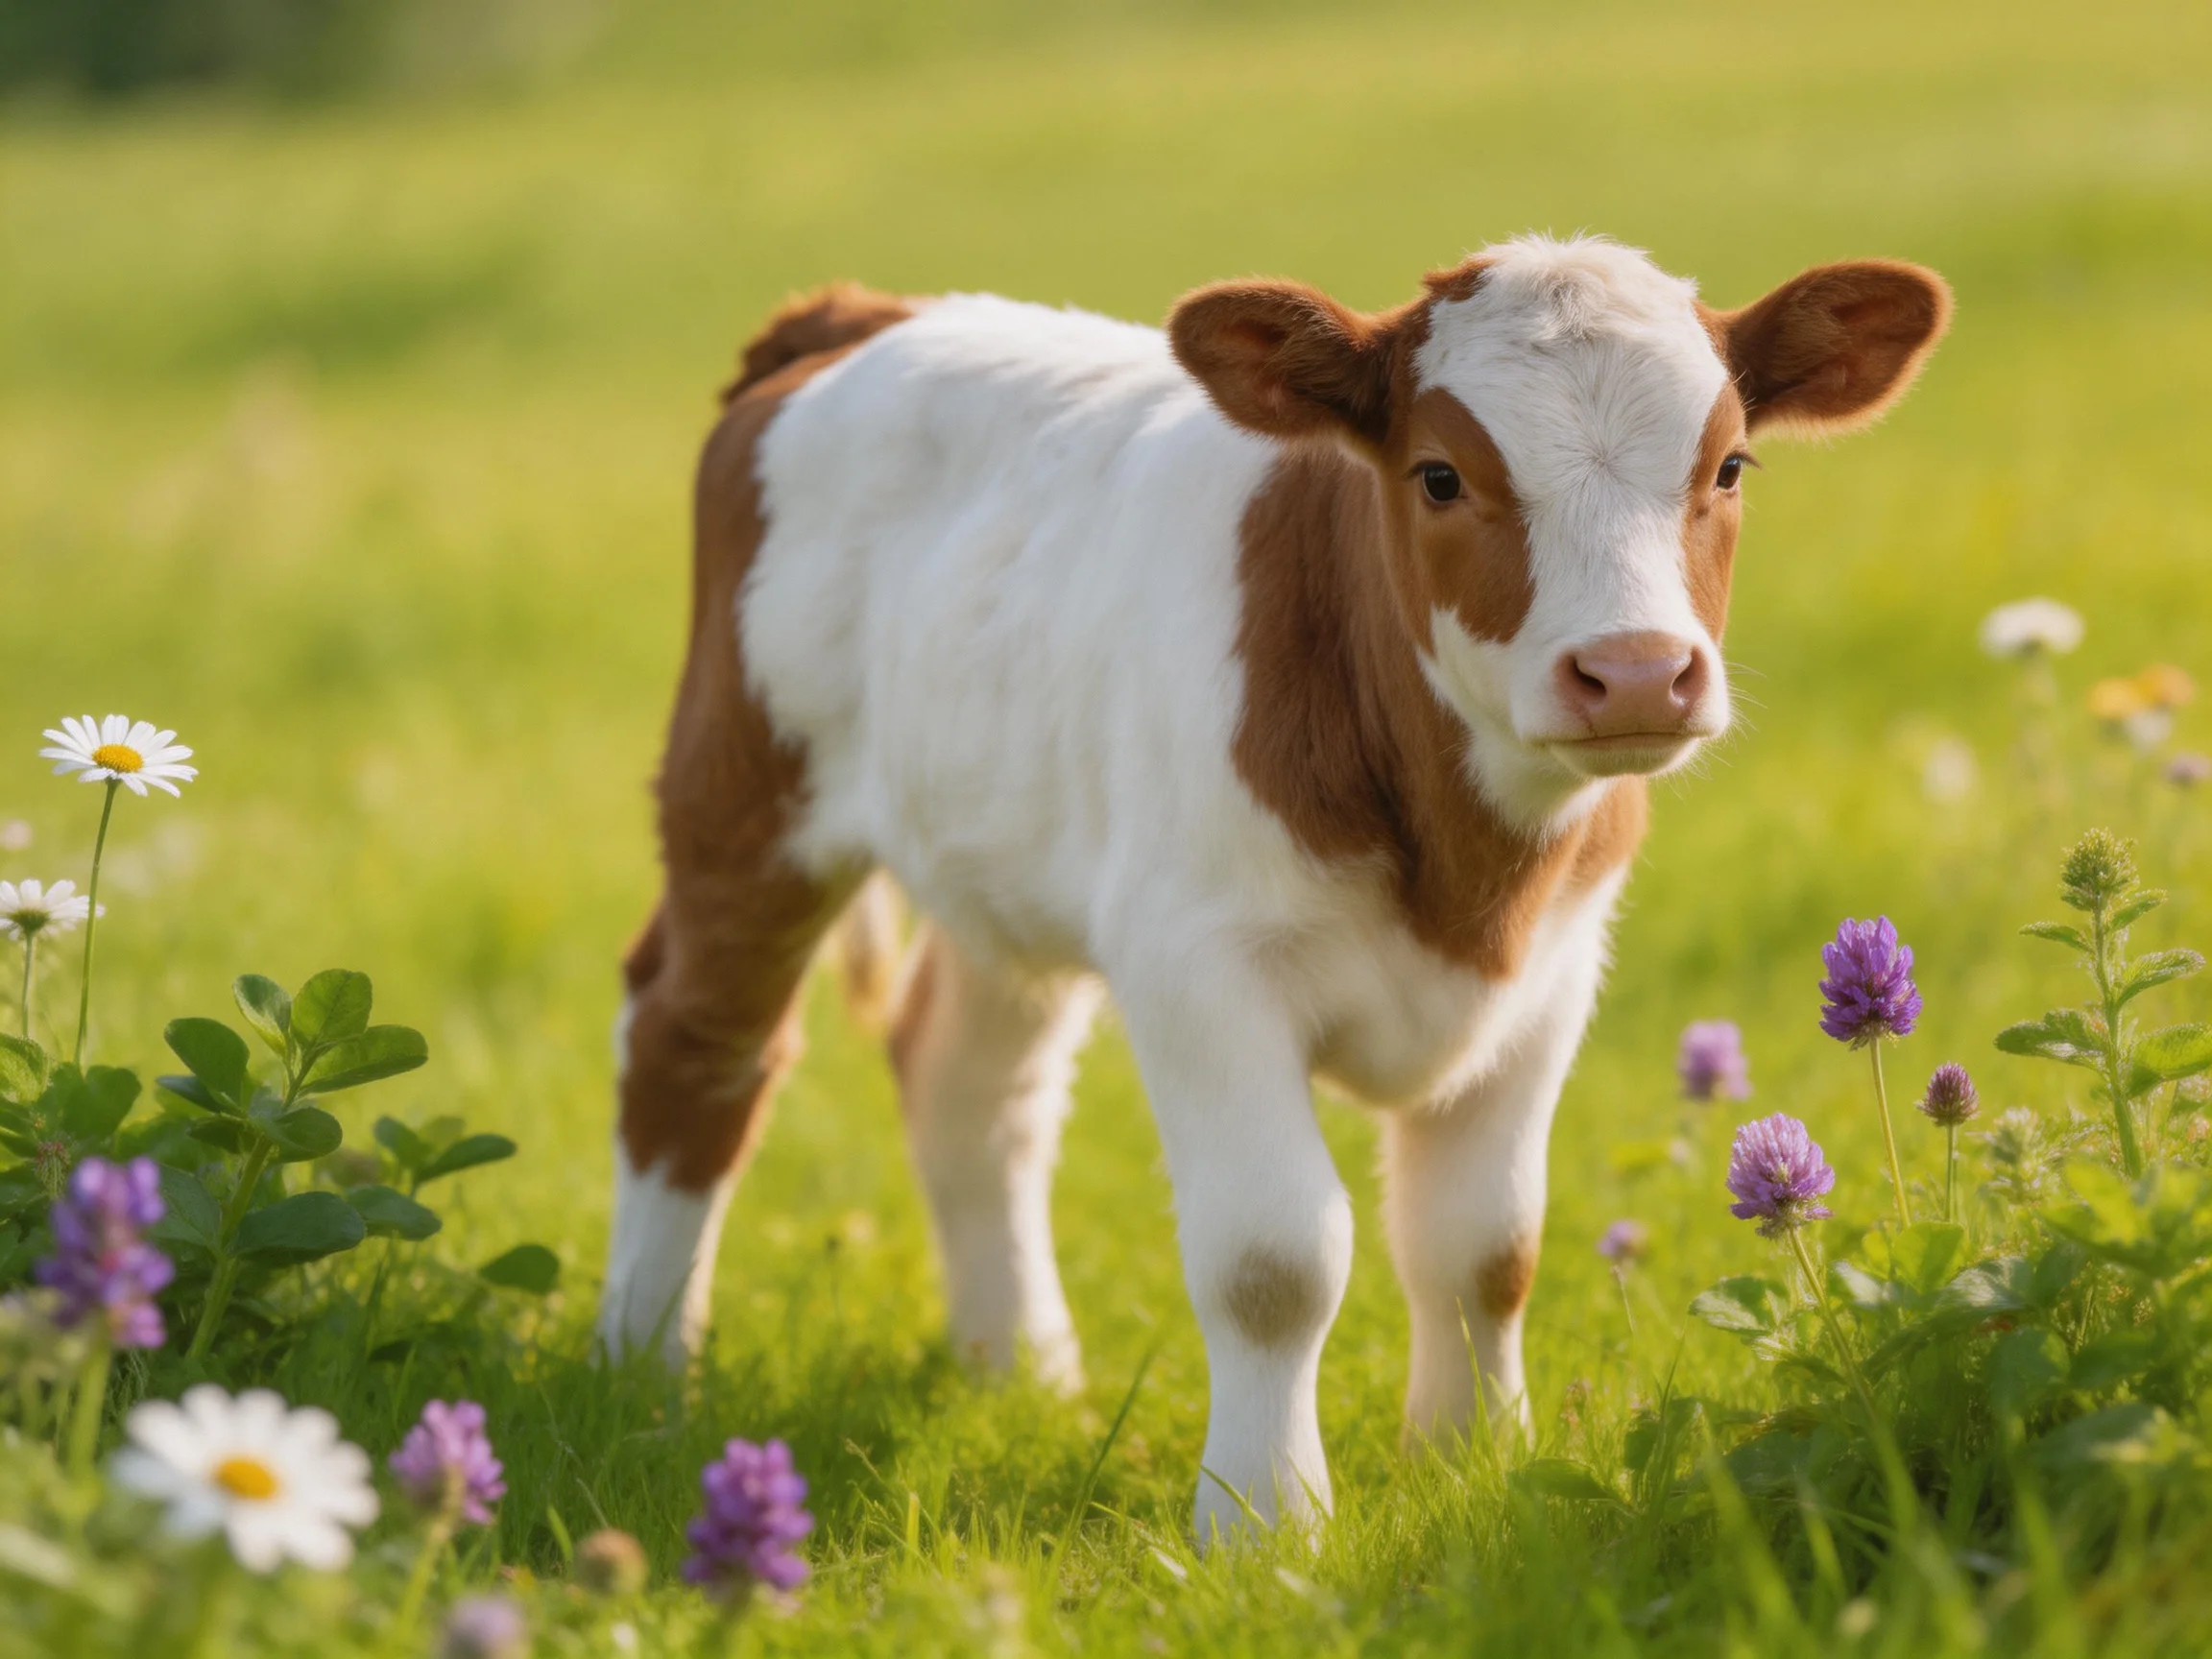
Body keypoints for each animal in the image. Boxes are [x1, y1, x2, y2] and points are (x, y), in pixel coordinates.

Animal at [597, 235, 1951, 1539]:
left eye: (1728, 468)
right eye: (1440, 475)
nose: (1632, 671)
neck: (1467, 874)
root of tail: (861, 312)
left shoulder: (1555, 971)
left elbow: (1486, 1245)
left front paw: (1474, 1461)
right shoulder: (1197, 963)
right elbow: (1274, 1260)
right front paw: (1265, 1521)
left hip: (1003, 862)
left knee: (972, 1091)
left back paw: (1023, 1372)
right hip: (744, 792)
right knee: (695, 1046)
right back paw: (645, 1371)